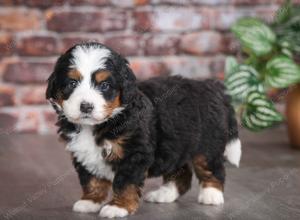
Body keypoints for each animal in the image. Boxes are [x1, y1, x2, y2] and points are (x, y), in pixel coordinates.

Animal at [45, 42, 241, 217]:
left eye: (104, 85)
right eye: (72, 83)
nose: (86, 106)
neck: (105, 122)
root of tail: (212, 87)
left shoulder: (135, 153)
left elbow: (125, 182)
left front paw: (118, 207)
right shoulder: (84, 154)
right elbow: (92, 180)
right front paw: (90, 201)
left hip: (207, 144)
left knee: (212, 168)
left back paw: (211, 195)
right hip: (175, 146)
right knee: (181, 174)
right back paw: (165, 194)